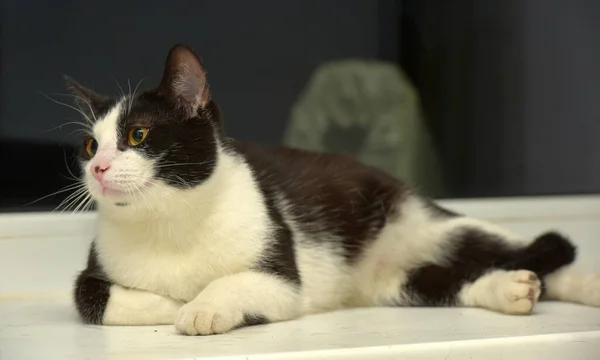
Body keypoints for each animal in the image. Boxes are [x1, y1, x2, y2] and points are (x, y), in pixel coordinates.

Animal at [71, 44, 600, 334]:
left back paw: (581, 284)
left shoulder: (280, 275)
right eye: (90, 144)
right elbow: (94, 299)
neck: (170, 221)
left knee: (527, 249)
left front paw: (200, 307)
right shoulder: (93, 273)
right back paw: (512, 289)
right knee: (452, 279)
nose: (97, 167)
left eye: (137, 135)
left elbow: (239, 281)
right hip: (394, 284)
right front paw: (176, 302)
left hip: (426, 223)